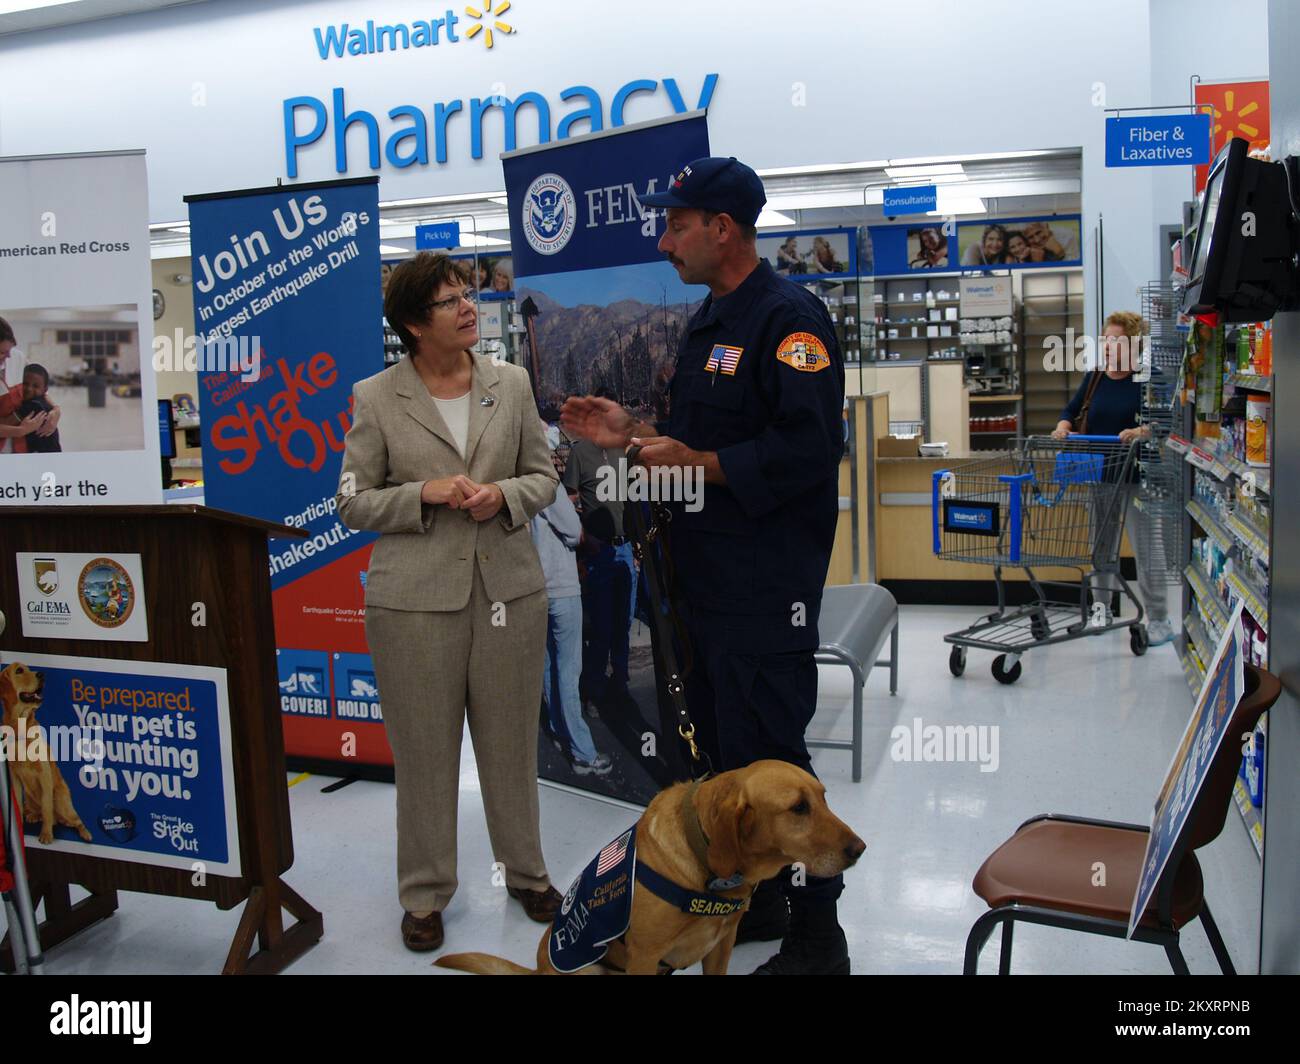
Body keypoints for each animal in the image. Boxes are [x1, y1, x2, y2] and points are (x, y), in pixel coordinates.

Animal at [0, 658, 92, 842]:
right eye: (19, 670)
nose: (42, 674)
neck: (21, 730)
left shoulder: (44, 774)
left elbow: (47, 807)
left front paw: (46, 834)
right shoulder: (14, 775)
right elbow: (18, 805)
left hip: (62, 801)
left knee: (75, 820)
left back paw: (84, 833)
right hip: (30, 798)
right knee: (37, 810)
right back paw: (33, 815)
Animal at [436, 759, 863, 972]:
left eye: (823, 797)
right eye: (798, 808)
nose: (860, 849)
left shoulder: (721, 946)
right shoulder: (643, 955)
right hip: (583, 967)